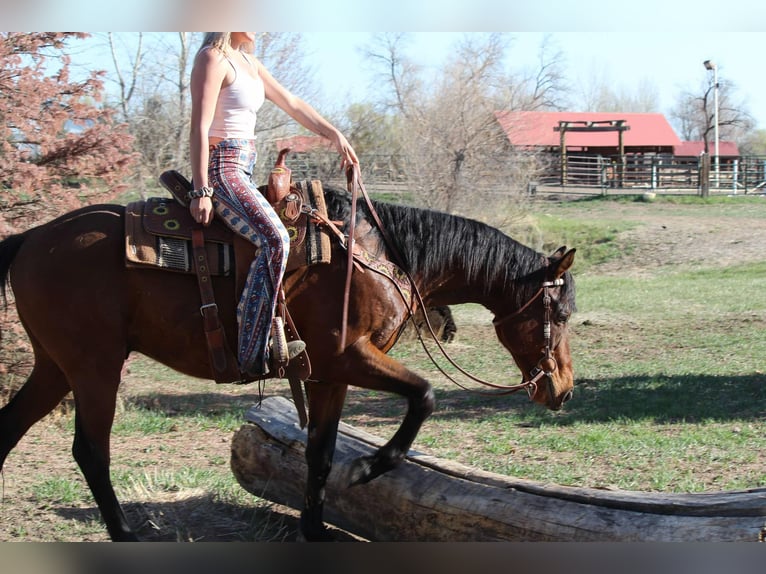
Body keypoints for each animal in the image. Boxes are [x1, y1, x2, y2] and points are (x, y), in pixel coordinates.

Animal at [0, 184, 576, 541]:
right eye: (561, 312)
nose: (562, 389)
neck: (374, 258)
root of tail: (30, 238)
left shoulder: (328, 375)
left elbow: (319, 453)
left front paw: (315, 528)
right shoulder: (349, 356)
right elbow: (425, 395)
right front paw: (367, 467)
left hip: (54, 367)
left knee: (9, 428)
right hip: (94, 368)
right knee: (90, 451)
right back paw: (124, 532)